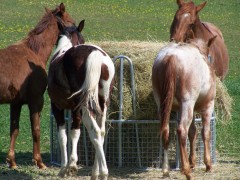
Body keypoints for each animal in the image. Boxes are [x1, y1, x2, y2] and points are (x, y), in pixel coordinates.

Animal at [0, 2, 75, 169]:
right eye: (71, 22)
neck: (33, 52)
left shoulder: (16, 103)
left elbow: (14, 130)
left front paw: (11, 161)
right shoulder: (36, 101)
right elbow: (36, 130)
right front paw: (39, 161)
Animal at [48, 24, 115, 180]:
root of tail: (95, 53)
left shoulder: (57, 107)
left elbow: (63, 136)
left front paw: (64, 168)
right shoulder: (75, 109)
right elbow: (75, 133)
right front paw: (72, 165)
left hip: (85, 106)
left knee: (95, 131)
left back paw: (104, 172)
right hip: (102, 104)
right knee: (101, 131)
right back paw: (95, 172)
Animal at [152, 35, 218, 179]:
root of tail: (170, 57)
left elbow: (192, 132)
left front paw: (192, 162)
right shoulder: (208, 106)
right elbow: (205, 133)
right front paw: (208, 164)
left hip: (162, 103)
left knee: (166, 131)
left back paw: (166, 170)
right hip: (188, 103)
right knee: (182, 130)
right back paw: (187, 172)